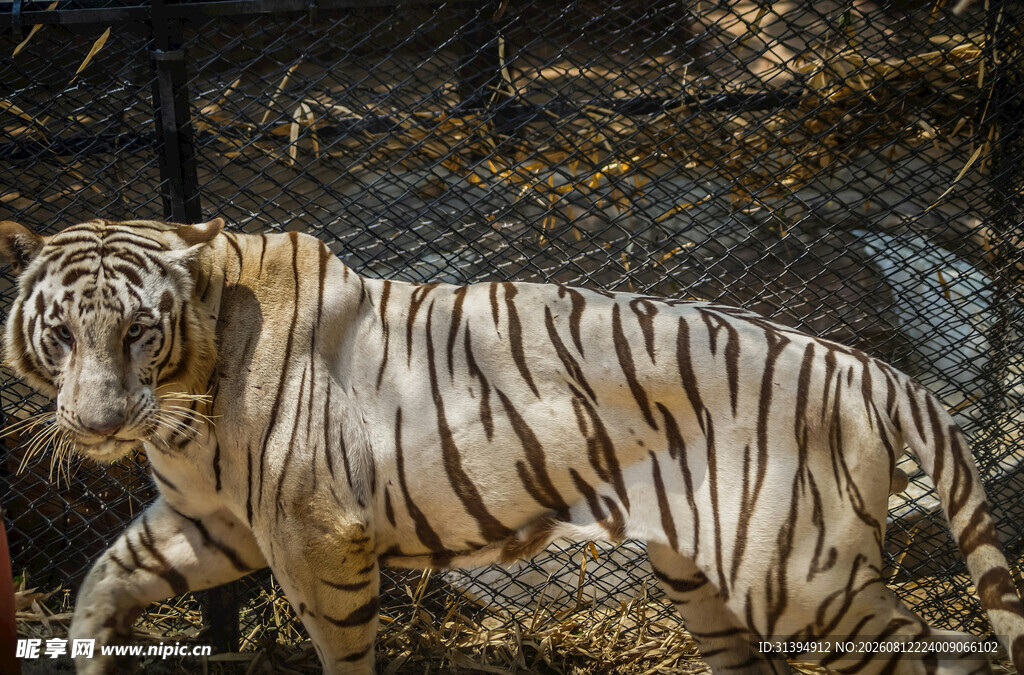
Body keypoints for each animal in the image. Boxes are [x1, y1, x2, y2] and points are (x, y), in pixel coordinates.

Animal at [1, 217, 1023, 675]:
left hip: (796, 572)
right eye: (63, 333)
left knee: (944, 652)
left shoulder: (314, 534)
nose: (97, 423)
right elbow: (104, 578)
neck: (186, 396)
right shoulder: (211, 520)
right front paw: (90, 656)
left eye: (138, 331)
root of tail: (866, 366)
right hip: (704, 571)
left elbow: (340, 648)